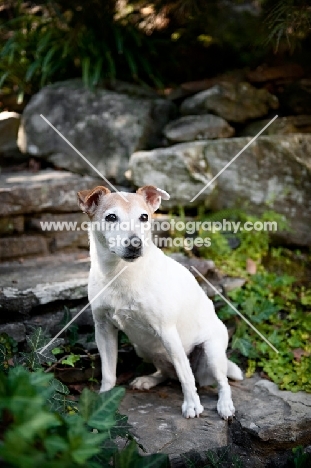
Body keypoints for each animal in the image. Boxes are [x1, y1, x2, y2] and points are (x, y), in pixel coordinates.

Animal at [78, 185, 244, 418]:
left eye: (144, 217)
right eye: (111, 217)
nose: (135, 244)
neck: (119, 273)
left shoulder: (167, 331)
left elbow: (186, 375)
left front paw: (192, 405)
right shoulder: (103, 330)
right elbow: (108, 372)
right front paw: (104, 401)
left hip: (212, 352)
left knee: (220, 381)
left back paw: (225, 404)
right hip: (144, 349)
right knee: (167, 373)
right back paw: (149, 380)